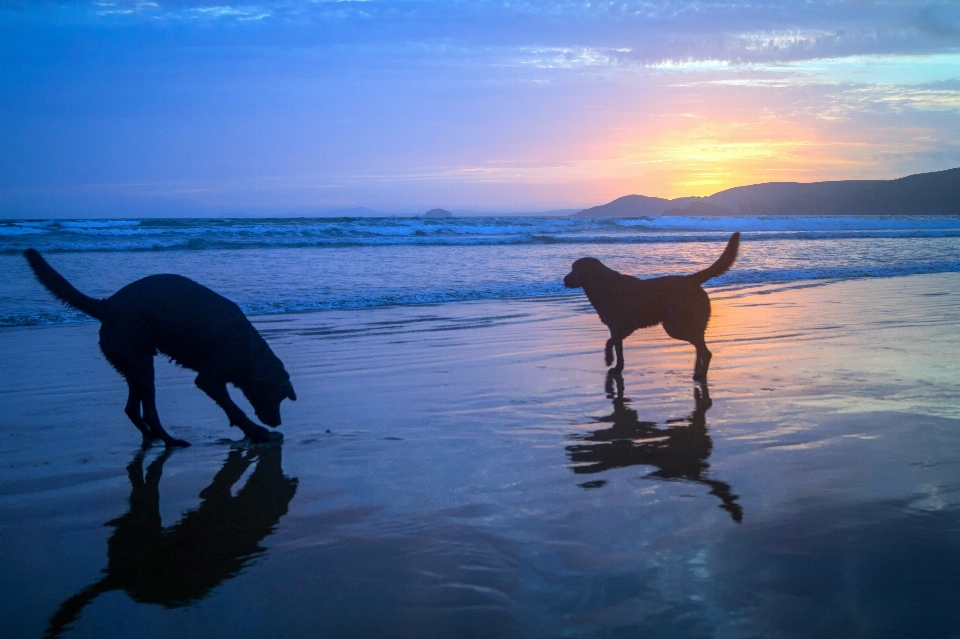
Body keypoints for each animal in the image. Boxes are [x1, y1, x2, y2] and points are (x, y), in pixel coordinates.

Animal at [26, 248, 296, 448]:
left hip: (135, 365)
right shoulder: (209, 379)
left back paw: (152, 437)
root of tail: (107, 306)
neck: (251, 355)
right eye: (280, 396)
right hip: (141, 363)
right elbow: (233, 408)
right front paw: (257, 432)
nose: (278, 422)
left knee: (133, 409)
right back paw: (170, 440)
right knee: (148, 412)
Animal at [564, 232, 744, 382]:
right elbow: (614, 345)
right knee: (700, 348)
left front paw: (613, 363)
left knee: (705, 352)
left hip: (676, 325)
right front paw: (614, 364)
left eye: (575, 269)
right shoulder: (622, 328)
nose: (563, 280)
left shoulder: (621, 327)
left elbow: (614, 345)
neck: (603, 285)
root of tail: (691, 280)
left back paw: (701, 376)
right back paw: (696, 372)